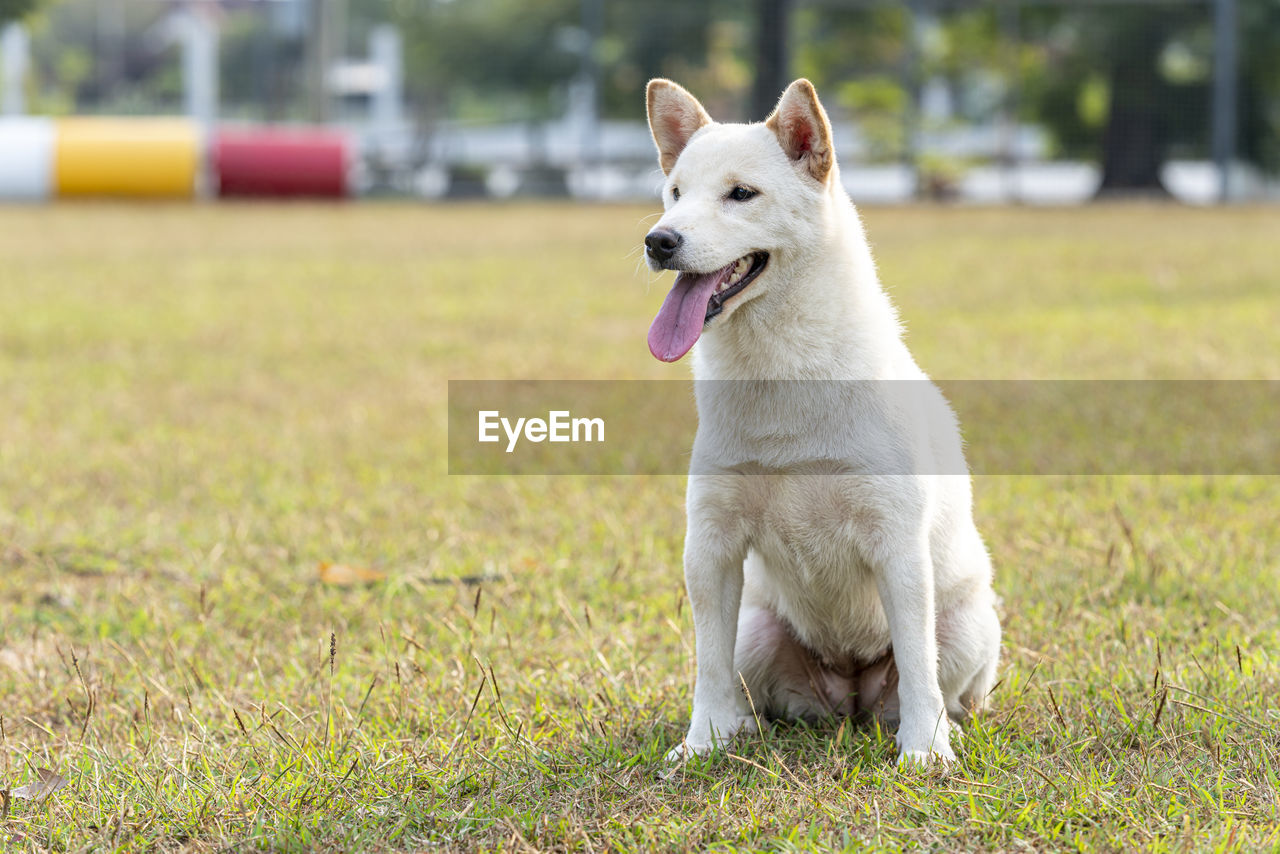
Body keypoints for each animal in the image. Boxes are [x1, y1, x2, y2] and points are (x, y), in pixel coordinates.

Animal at [640, 76, 998, 763]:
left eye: (741, 194)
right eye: (674, 193)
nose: (659, 241)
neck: (781, 374)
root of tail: (850, 692)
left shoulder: (897, 543)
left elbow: (917, 663)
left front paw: (925, 751)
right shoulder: (711, 545)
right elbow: (707, 666)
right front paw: (701, 743)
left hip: (968, 624)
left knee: (943, 687)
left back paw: (944, 726)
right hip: (757, 632)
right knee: (751, 688)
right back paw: (742, 728)